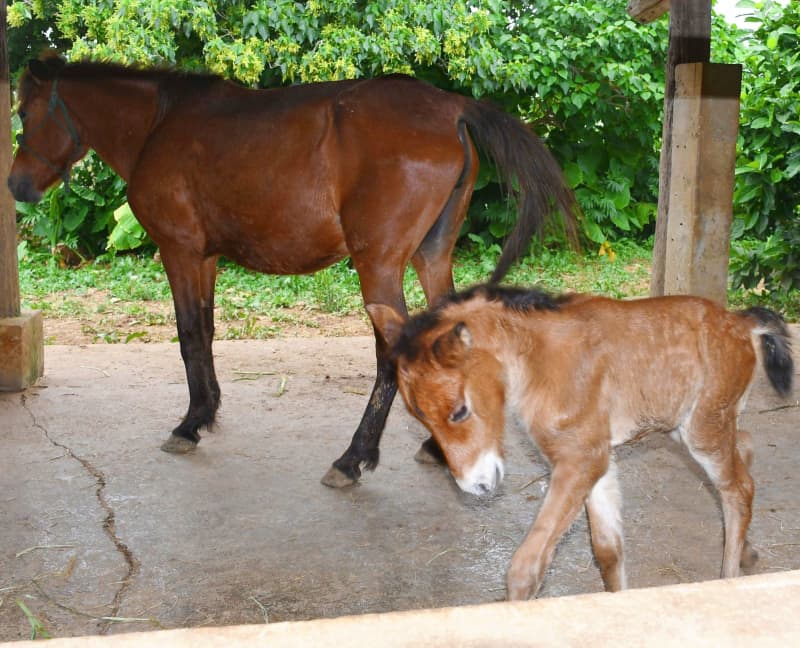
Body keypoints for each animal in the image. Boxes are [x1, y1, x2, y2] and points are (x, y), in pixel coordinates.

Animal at [9, 54, 580, 486]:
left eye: (24, 112)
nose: (16, 185)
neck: (159, 124)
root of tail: (453, 108)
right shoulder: (207, 257)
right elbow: (207, 330)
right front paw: (207, 411)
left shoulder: (180, 250)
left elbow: (188, 333)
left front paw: (189, 424)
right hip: (431, 256)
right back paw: (437, 448)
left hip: (378, 264)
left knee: (391, 353)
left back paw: (353, 458)